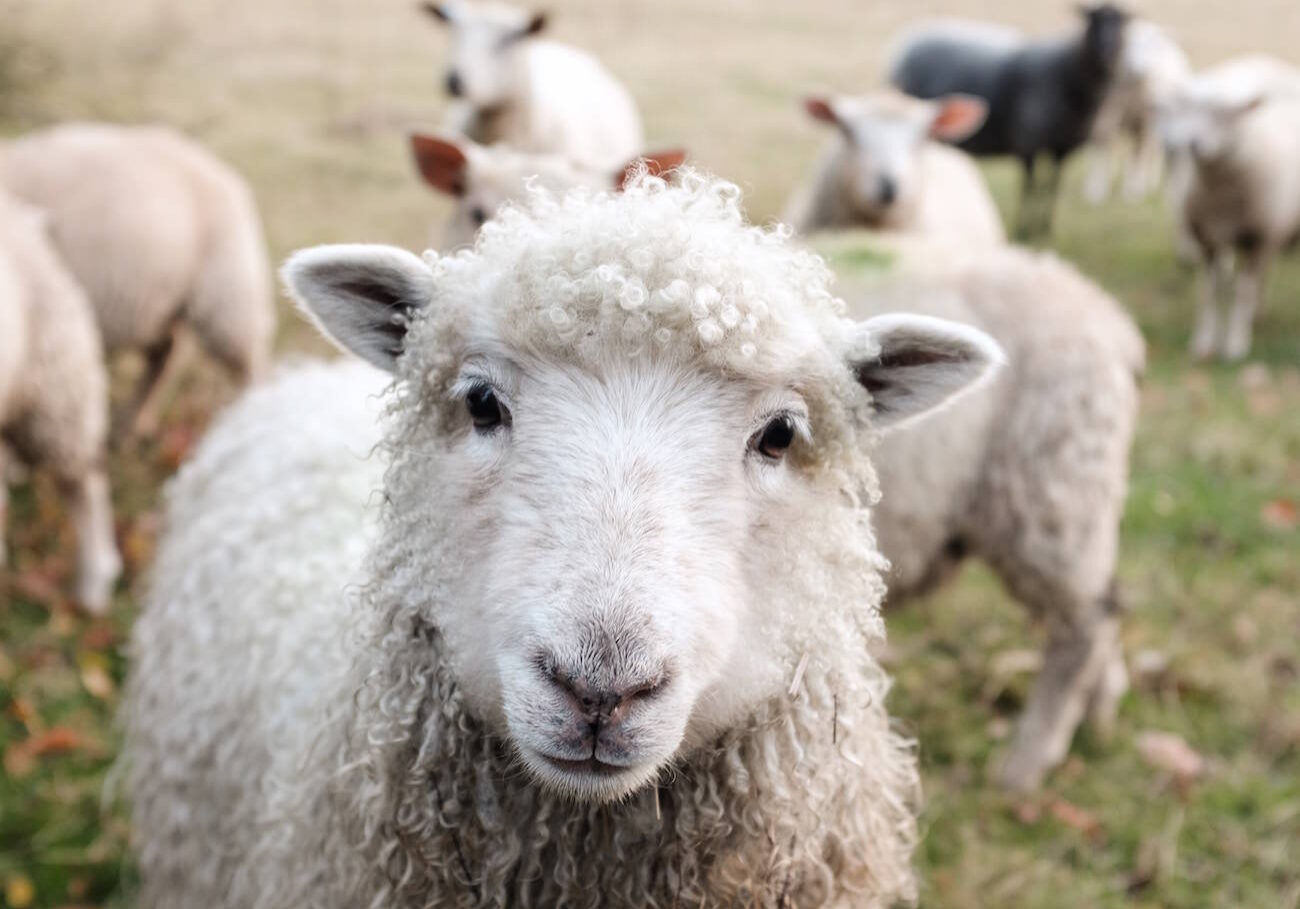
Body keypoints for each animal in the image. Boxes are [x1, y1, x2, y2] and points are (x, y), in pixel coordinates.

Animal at [0, 122, 275, 436]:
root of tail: (223, 172)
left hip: (227, 295)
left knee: (250, 364)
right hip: (160, 304)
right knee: (164, 355)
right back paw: (133, 423)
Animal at [827, 233, 1144, 791]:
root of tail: (1111, 319)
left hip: (1051, 493)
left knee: (1087, 623)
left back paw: (1028, 762)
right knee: (1102, 606)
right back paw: (1100, 712)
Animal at [890, 4, 1131, 238]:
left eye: (1122, 23)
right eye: (1093, 20)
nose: (1108, 50)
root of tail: (908, 39)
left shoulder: (1062, 148)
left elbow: (1052, 187)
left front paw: (1045, 227)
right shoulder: (1028, 143)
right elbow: (1030, 187)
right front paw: (1025, 228)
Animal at [1082, 18, 1191, 204]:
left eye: (1153, 48)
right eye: (1130, 45)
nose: (1136, 67)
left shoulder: (1147, 120)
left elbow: (1141, 151)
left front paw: (1134, 190)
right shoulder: (1109, 108)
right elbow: (1103, 139)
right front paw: (1096, 190)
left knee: (1149, 149)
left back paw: (1144, 184)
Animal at [1157, 56, 1300, 359]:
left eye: (1225, 114)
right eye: (1187, 109)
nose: (1192, 144)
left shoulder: (1256, 237)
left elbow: (1242, 292)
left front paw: (1236, 343)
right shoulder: (1206, 238)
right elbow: (1209, 292)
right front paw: (1203, 342)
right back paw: (1258, 312)